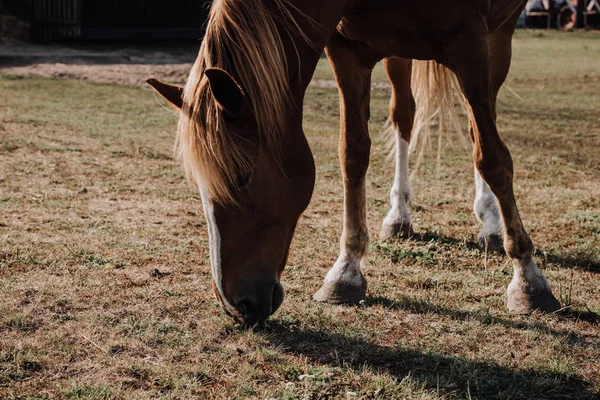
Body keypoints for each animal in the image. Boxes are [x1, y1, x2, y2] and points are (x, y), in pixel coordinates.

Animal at [150, 0, 564, 324]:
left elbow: (492, 155)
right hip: (400, 52)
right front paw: (345, 272)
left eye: (241, 177)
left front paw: (529, 280)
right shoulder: (346, 51)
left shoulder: (472, 43)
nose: (236, 306)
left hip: (498, 37)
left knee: (480, 124)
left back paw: (491, 223)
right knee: (405, 115)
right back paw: (399, 216)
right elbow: (352, 152)